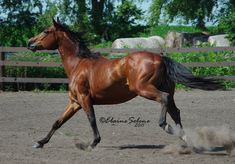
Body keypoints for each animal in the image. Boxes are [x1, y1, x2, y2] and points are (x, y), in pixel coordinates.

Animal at [27, 18, 222, 149]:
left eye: (45, 31)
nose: (29, 43)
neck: (78, 64)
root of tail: (160, 58)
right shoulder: (74, 102)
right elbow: (58, 122)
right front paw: (40, 142)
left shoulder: (84, 99)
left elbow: (92, 119)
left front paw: (92, 143)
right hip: (161, 91)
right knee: (175, 111)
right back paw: (184, 139)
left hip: (144, 89)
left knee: (164, 99)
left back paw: (165, 126)